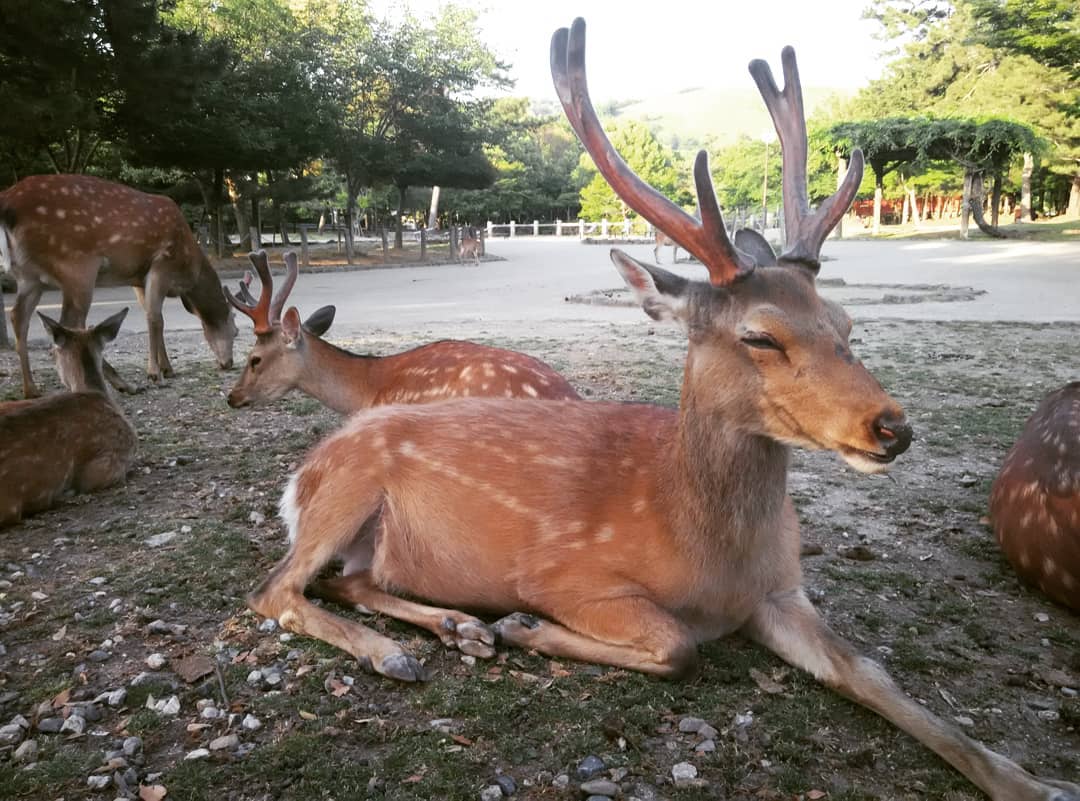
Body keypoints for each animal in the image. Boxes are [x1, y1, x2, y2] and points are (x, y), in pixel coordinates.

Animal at [0, 174, 237, 398]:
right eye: (235, 332)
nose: (229, 363)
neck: (189, 270)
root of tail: (7, 201)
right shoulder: (162, 262)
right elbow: (155, 319)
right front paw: (155, 374)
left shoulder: (137, 278)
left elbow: (154, 316)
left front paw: (167, 368)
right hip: (76, 264)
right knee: (70, 324)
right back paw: (121, 383)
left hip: (29, 277)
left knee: (18, 316)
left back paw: (31, 389)